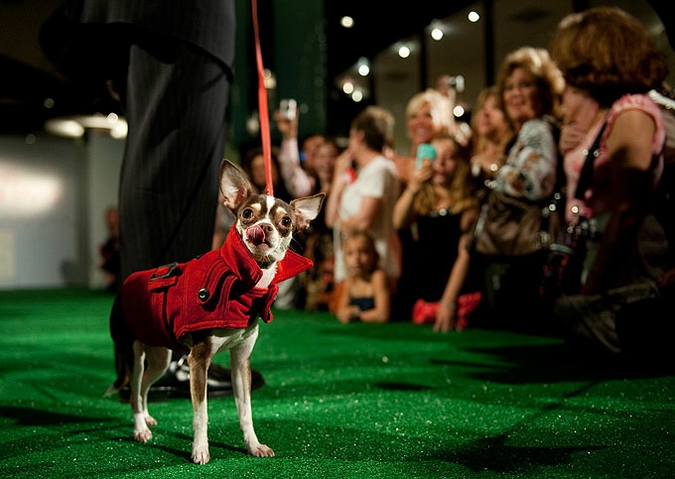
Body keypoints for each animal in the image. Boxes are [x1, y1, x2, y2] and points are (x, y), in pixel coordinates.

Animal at [105, 159, 324, 464]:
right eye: (247, 214)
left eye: (286, 222)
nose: (264, 228)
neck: (246, 281)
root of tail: (127, 283)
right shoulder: (199, 361)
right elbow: (202, 413)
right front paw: (200, 450)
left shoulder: (241, 362)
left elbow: (246, 411)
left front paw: (253, 445)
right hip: (132, 354)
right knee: (134, 391)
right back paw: (140, 428)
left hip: (160, 357)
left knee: (145, 387)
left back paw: (147, 418)